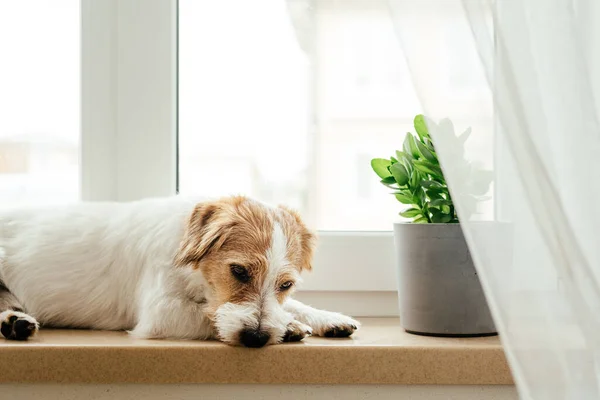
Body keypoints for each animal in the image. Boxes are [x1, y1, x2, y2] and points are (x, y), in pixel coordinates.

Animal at [0, 195, 358, 346]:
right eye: (239, 271)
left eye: (285, 285)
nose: (257, 337)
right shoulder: (161, 312)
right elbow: (207, 315)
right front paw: (291, 327)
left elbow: (295, 306)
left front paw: (326, 318)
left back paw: (15, 322)